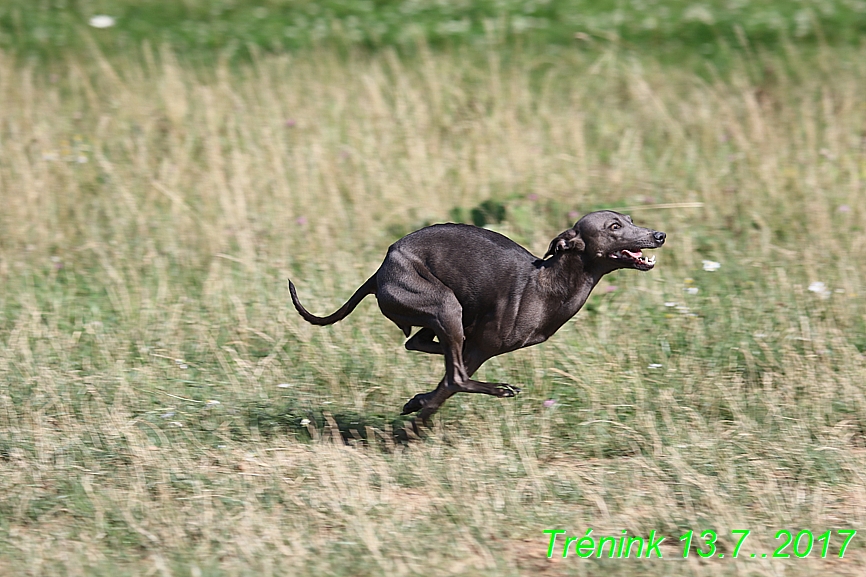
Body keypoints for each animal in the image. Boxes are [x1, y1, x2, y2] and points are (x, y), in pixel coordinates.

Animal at [286, 212, 664, 424]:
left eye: (630, 220)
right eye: (614, 226)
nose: (659, 235)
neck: (547, 283)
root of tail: (380, 270)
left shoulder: (482, 346)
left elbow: (441, 382)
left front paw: (416, 404)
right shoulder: (484, 345)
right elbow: (449, 385)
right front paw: (414, 424)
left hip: (447, 317)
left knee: (422, 344)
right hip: (445, 305)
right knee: (455, 373)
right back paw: (498, 389)